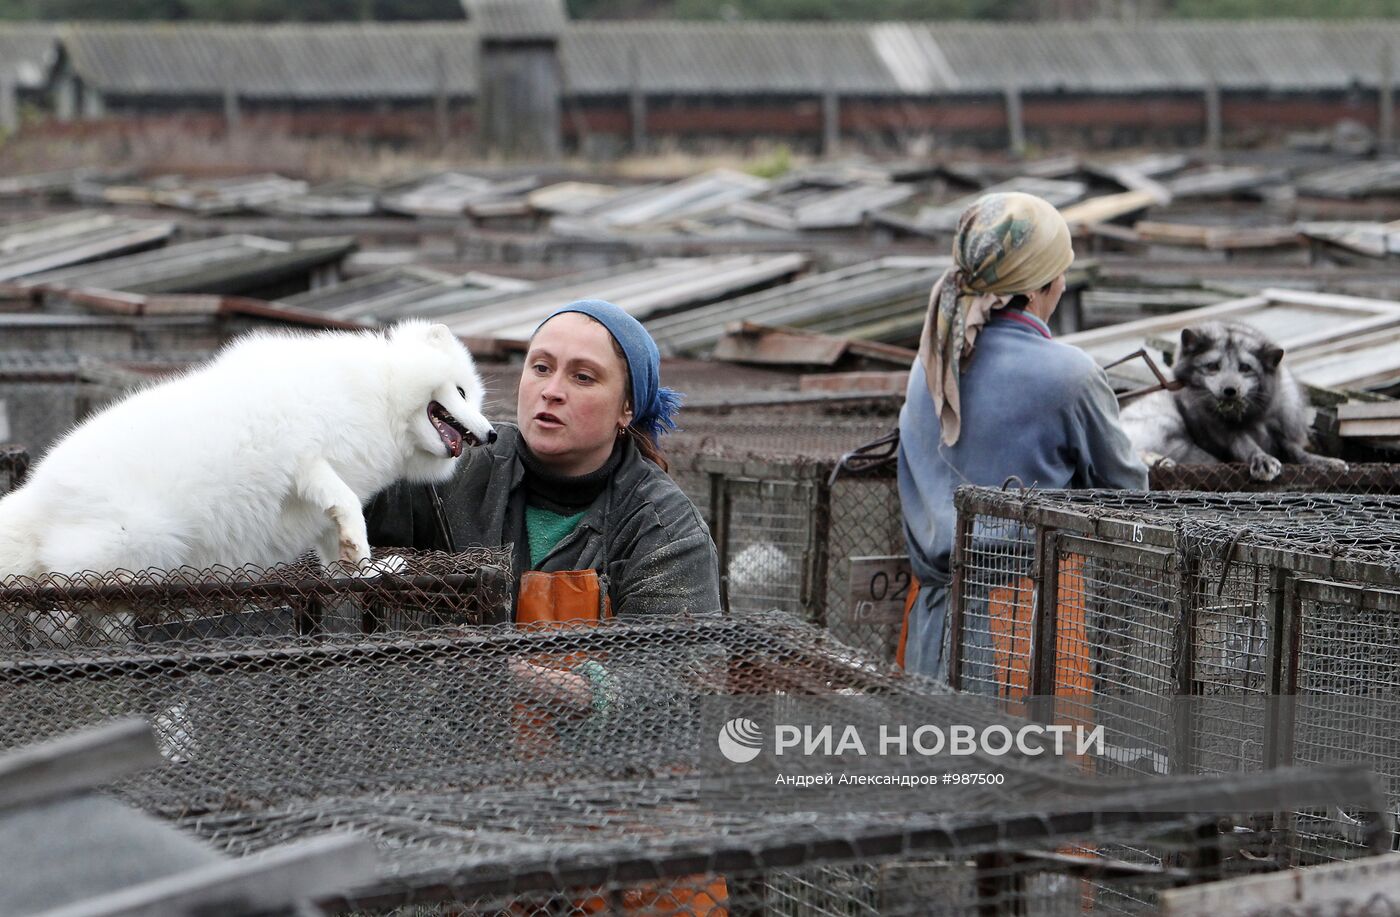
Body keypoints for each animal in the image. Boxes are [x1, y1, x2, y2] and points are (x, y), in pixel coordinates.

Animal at [0, 323, 498, 582]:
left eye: (475, 398)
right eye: (460, 393)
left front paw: (365, 568)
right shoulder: (307, 457)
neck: (377, 395)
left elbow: (339, 541)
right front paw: (363, 554)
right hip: (138, 541)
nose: (492, 435)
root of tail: (36, 496)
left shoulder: (321, 505)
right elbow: (347, 504)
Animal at [1114, 319, 1344, 484]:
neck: (1251, 418)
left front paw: (1326, 462)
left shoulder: (1279, 431)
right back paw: (1157, 460)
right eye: (1212, 366)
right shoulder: (1226, 435)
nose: (1230, 391)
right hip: (1167, 421)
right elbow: (1247, 447)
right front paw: (1262, 460)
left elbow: (1297, 451)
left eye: (1245, 368)